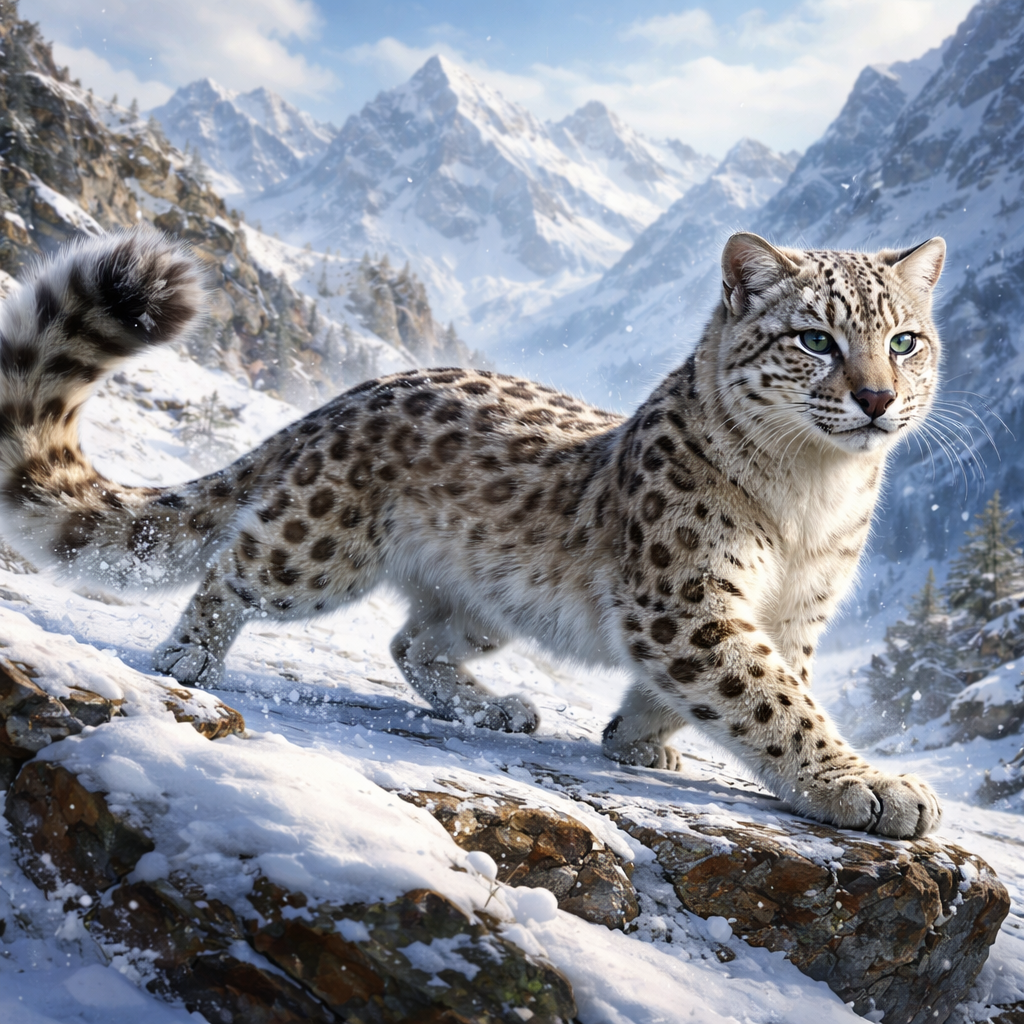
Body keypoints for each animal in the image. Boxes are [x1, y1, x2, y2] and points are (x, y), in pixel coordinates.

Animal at [0, 227, 946, 838]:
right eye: (815, 339)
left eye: (905, 341)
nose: (876, 398)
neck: (814, 497)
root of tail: (357, 391)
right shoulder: (689, 597)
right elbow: (772, 700)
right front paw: (870, 787)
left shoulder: (796, 614)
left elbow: (760, 686)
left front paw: (638, 740)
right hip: (315, 548)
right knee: (234, 568)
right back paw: (186, 659)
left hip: (486, 601)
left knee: (412, 641)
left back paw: (499, 708)